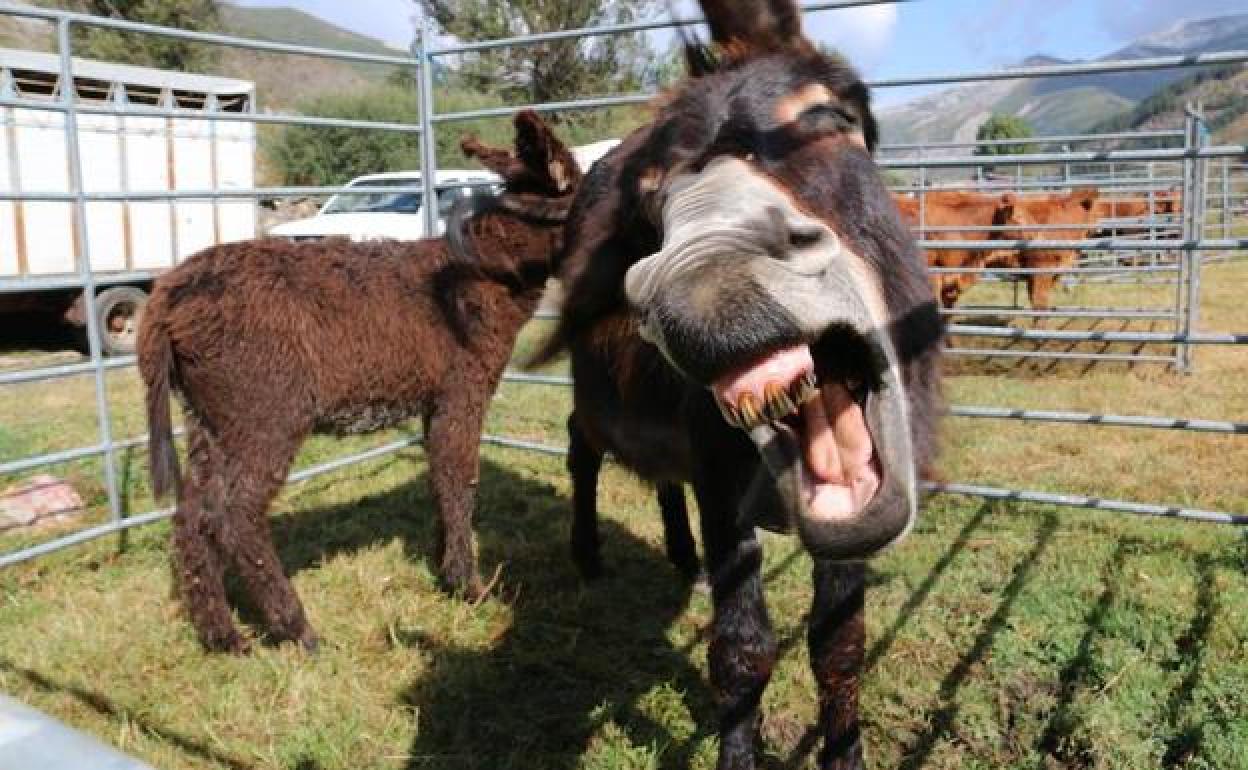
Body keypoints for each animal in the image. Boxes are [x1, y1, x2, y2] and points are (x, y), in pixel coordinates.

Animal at [137, 109, 579, 648]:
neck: (486, 273)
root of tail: (168, 295)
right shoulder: (464, 390)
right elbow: (461, 477)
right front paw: (468, 587)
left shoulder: (433, 400)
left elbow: (439, 477)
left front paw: (442, 568)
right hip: (266, 415)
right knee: (234, 516)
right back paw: (297, 628)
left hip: (210, 419)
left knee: (193, 516)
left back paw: (224, 639)